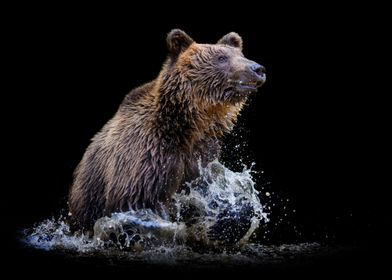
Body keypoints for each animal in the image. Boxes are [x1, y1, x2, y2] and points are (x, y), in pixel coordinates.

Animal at [69, 29, 266, 230]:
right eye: (221, 58)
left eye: (241, 55)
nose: (257, 69)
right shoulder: (146, 157)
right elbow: (136, 203)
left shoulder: (202, 157)